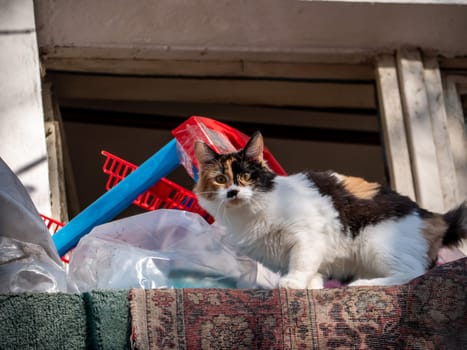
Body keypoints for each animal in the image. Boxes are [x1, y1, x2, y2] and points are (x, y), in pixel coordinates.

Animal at [194, 131, 467, 288]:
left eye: (246, 177)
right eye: (220, 179)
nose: (233, 192)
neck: (249, 215)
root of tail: (432, 216)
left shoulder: (308, 236)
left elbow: (301, 261)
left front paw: (292, 283)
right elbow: (313, 270)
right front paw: (310, 286)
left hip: (376, 243)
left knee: (412, 273)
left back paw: (364, 284)